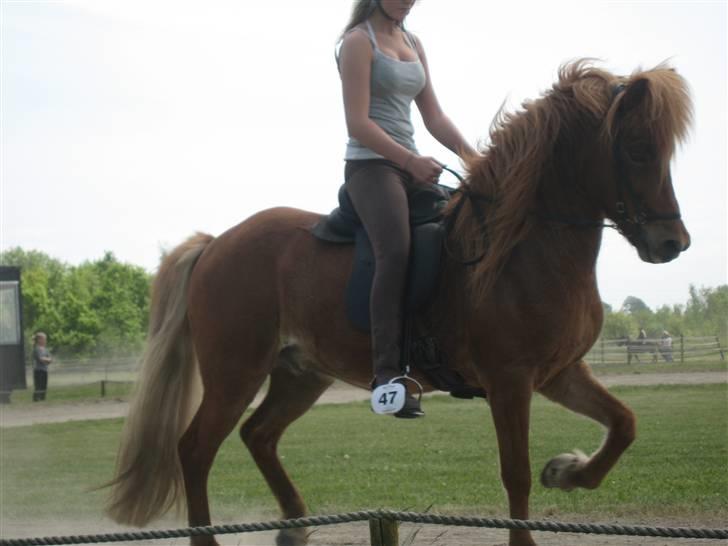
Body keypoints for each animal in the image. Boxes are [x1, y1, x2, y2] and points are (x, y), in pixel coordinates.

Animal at [105, 61, 692, 544]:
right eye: (637, 149)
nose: (673, 243)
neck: (524, 245)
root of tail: (217, 242)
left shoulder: (558, 372)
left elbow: (624, 424)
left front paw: (568, 470)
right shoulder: (510, 381)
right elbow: (517, 477)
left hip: (300, 373)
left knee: (259, 435)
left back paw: (294, 525)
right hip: (235, 373)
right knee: (195, 450)